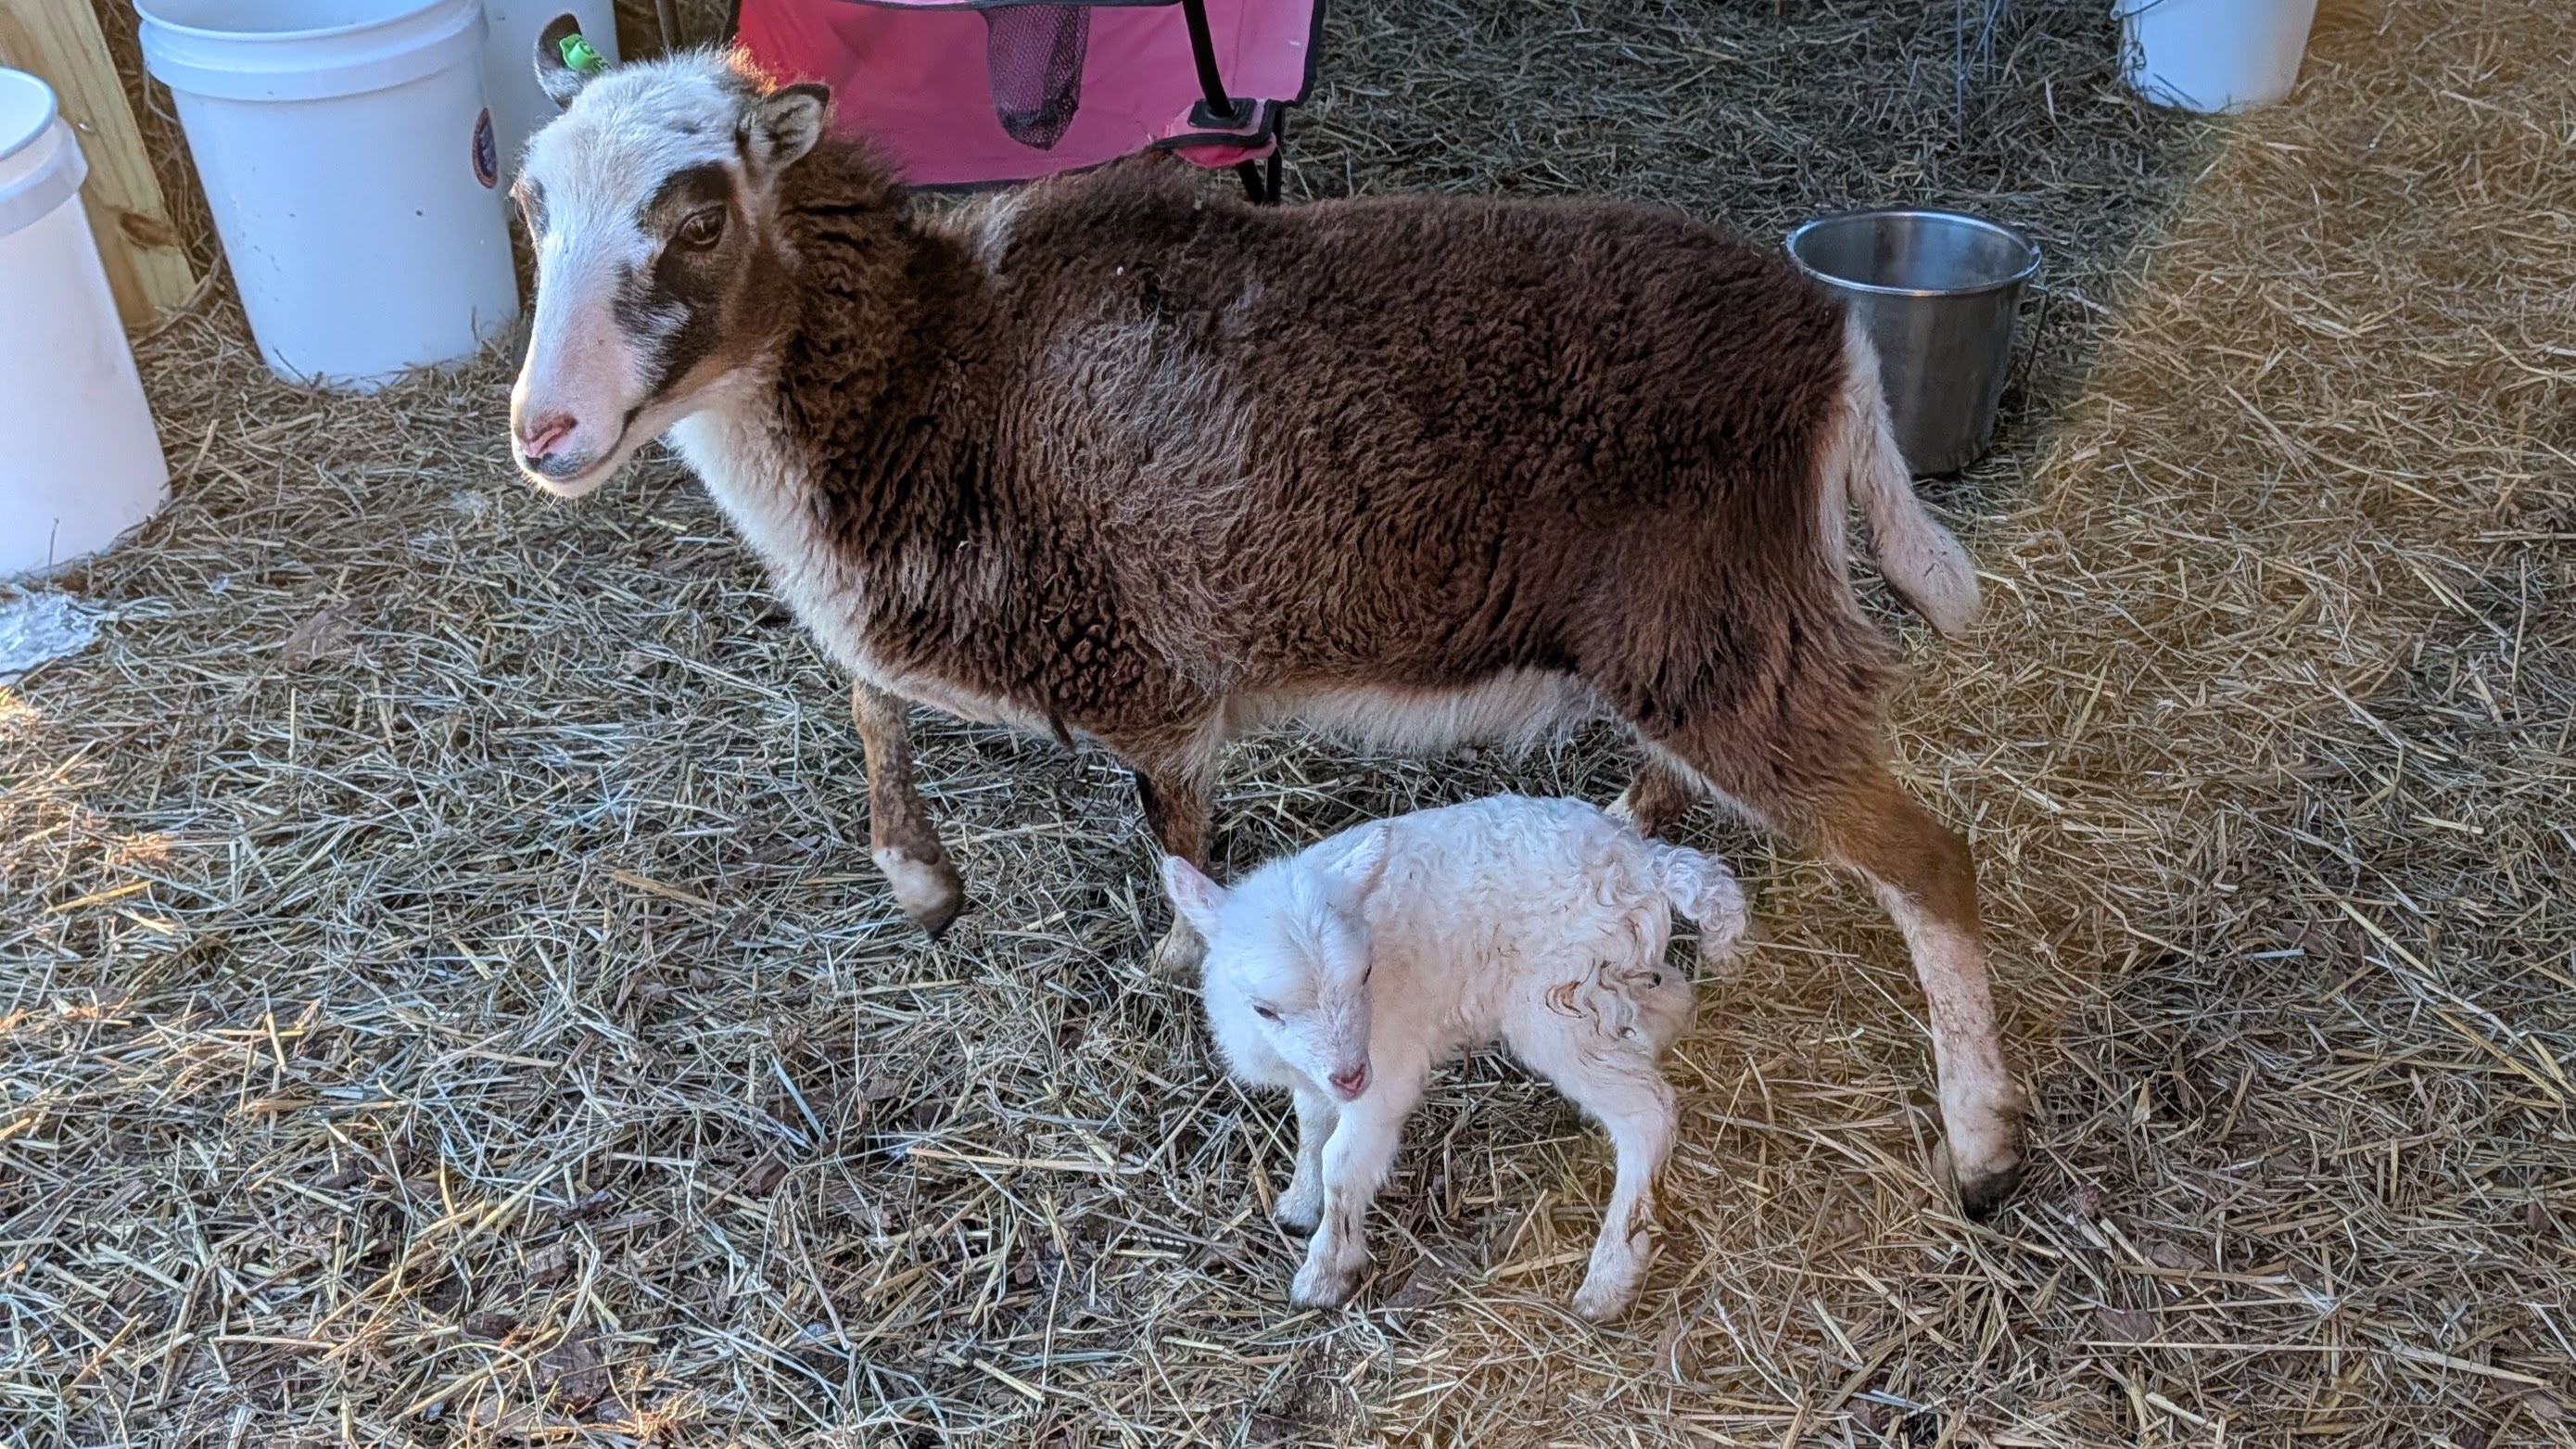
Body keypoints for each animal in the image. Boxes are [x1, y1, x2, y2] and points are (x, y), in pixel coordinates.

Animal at [505, 37, 2025, 1212]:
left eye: (701, 218)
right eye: (526, 205)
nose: (544, 432)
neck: (939, 375)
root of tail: (1832, 348)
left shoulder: (1138, 659)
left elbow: (1169, 819)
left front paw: (1176, 963)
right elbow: (867, 691)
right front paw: (921, 880)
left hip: (1717, 620)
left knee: (1928, 861)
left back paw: (1982, 1151)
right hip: (1705, 626)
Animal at [1161, 794, 1748, 1321]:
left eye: (1366, 975)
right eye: (1264, 1009)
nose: (1352, 1077)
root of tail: (1645, 862)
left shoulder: (1387, 1065)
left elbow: (1342, 1164)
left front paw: (1325, 1273)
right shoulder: (1315, 1075)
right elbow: (1310, 1128)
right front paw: (1299, 1204)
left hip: (1557, 1008)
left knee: (1647, 1113)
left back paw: (1606, 1282)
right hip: (1609, 982)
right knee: (1670, 1001)